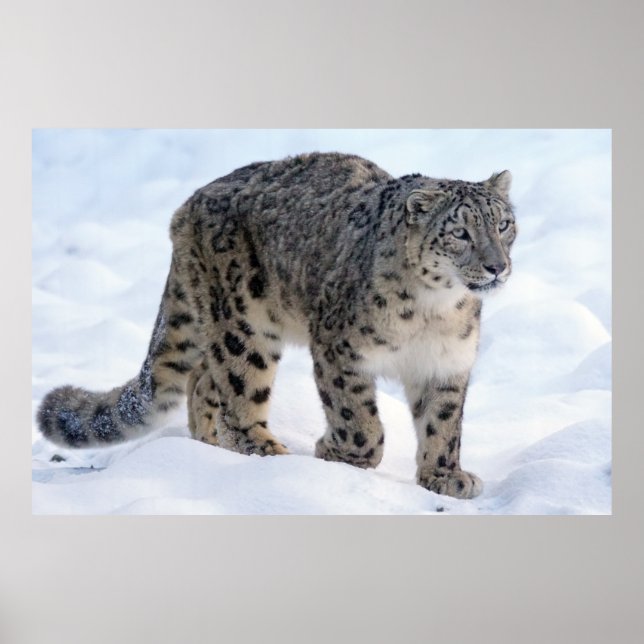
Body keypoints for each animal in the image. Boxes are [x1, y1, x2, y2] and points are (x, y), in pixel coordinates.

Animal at [36, 152, 516, 499]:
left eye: (504, 224)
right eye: (460, 232)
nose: (497, 266)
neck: (435, 310)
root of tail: (188, 206)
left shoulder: (446, 364)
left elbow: (443, 423)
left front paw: (445, 476)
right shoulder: (340, 350)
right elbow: (358, 419)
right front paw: (336, 452)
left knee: (202, 381)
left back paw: (208, 446)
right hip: (244, 326)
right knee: (236, 393)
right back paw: (266, 452)